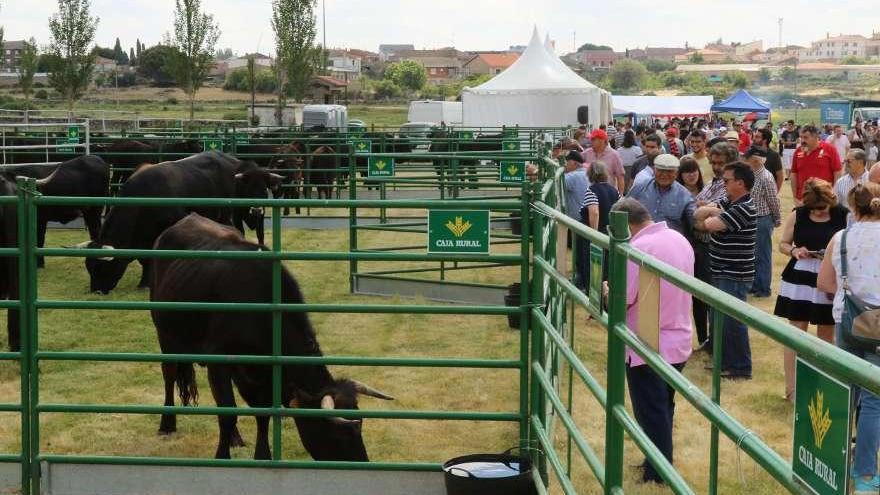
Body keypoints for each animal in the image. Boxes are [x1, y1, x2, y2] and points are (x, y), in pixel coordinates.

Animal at [152, 213, 396, 462]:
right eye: (337, 433)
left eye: (361, 424)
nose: (362, 463)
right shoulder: (219, 363)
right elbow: (227, 413)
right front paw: (222, 456)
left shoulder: (261, 373)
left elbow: (261, 414)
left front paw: (262, 455)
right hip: (166, 336)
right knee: (169, 374)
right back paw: (167, 424)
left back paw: (235, 438)